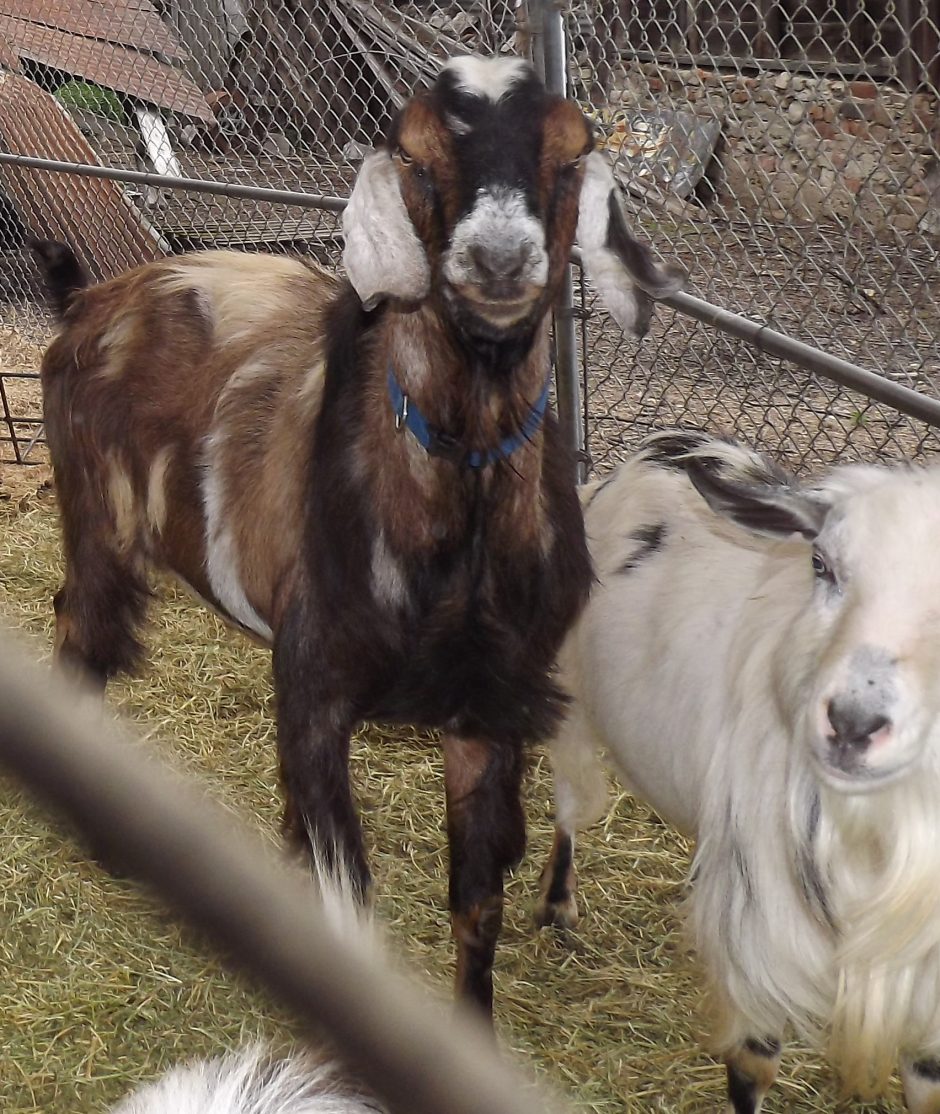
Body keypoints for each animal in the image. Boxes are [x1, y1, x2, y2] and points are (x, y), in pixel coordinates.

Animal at [31, 54, 684, 1018]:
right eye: (412, 154)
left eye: (570, 157)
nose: (497, 259)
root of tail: (87, 296)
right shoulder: (312, 690)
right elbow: (352, 904)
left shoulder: (487, 708)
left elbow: (476, 909)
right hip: (98, 520)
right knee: (85, 637)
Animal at [536, 430, 940, 1112]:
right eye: (821, 564)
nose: (852, 722)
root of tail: (668, 443)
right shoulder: (761, 942)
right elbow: (753, 1066)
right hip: (570, 697)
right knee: (570, 806)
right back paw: (557, 906)